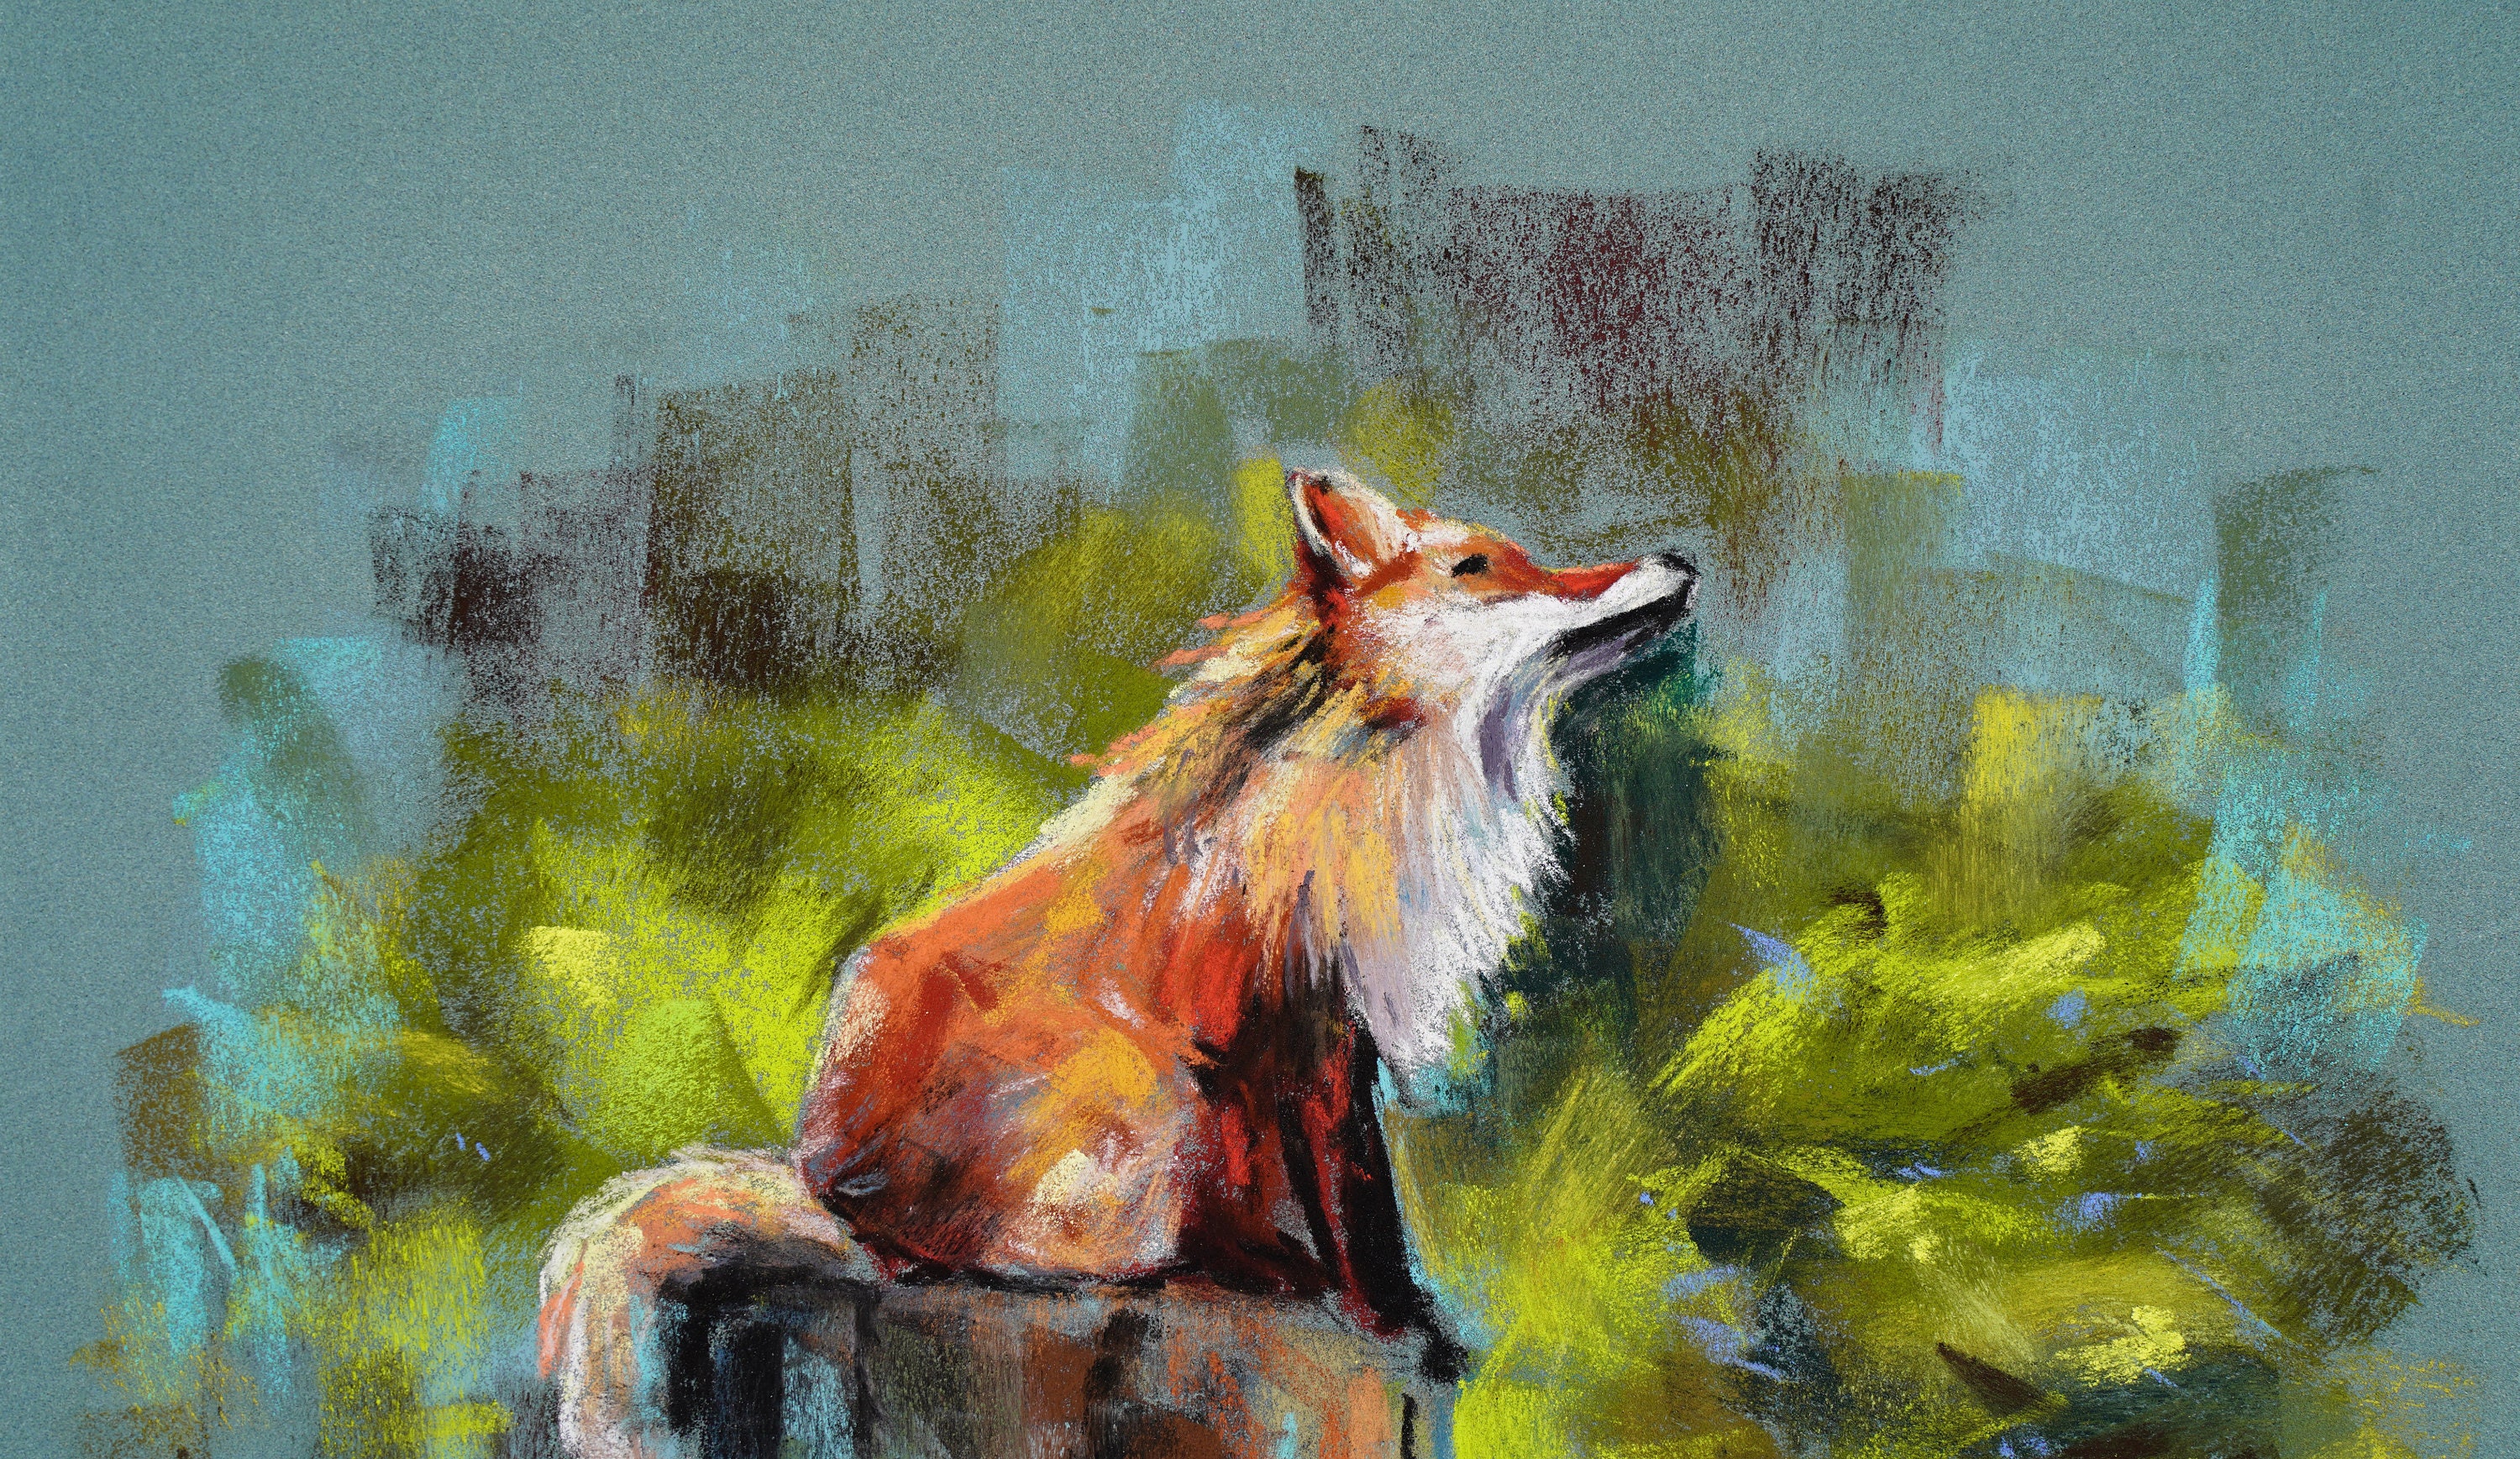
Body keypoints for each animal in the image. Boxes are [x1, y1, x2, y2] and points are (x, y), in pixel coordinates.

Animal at [537, 467, 1698, 1455]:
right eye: (1479, 568)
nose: (1681, 557)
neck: (1371, 780)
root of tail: (830, 1182)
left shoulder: (1324, 1036)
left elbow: (1338, 1201)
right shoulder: (1283, 1032)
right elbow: (1354, 1209)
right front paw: (1391, 1322)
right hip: (1143, 1098)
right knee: (1006, 1256)